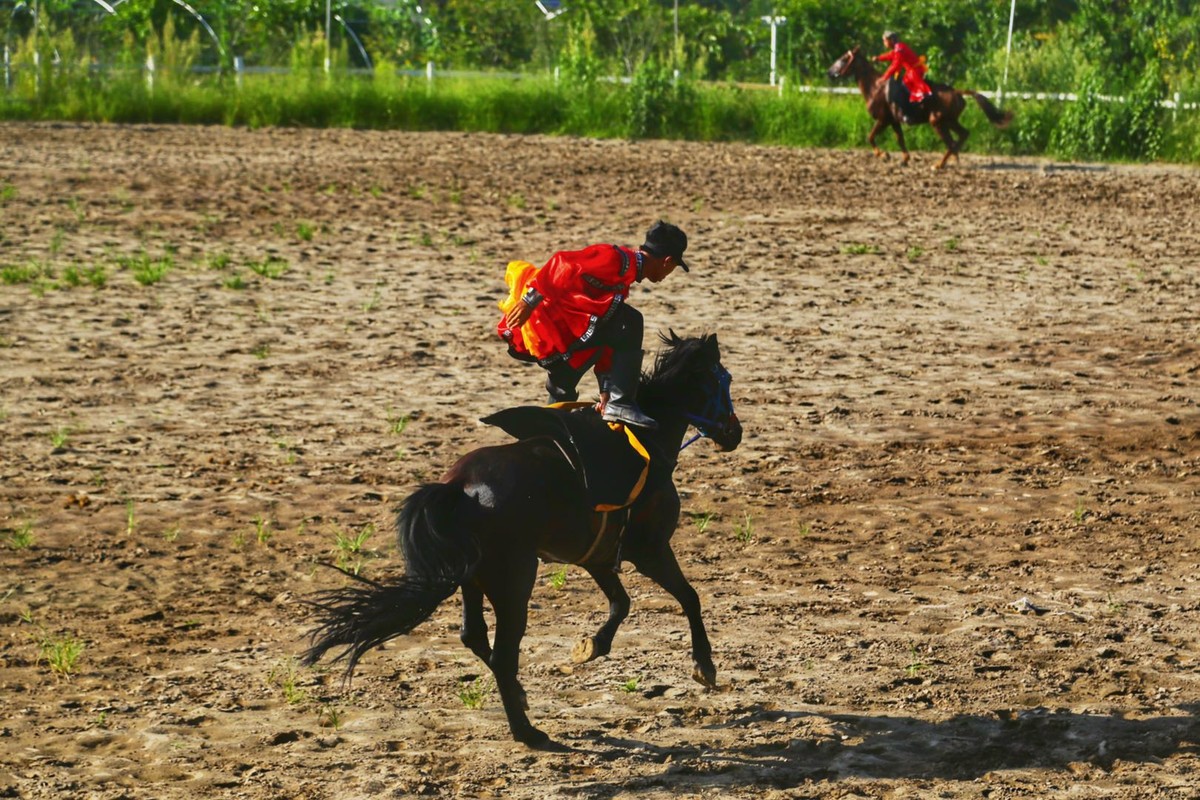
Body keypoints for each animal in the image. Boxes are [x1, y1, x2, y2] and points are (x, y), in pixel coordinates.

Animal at [304, 335, 739, 748]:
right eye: (724, 379)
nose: (735, 432)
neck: (646, 440)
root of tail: (459, 487)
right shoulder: (650, 550)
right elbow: (689, 597)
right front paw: (704, 666)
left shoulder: (596, 556)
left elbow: (622, 602)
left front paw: (591, 646)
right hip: (514, 582)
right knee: (502, 654)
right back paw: (528, 732)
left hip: (473, 578)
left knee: (474, 637)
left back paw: (522, 700)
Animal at [830, 46, 1017, 169]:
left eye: (844, 58)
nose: (830, 72)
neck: (876, 87)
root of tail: (956, 91)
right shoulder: (894, 121)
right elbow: (900, 139)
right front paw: (905, 159)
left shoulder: (883, 120)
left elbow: (870, 137)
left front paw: (884, 155)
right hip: (949, 121)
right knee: (962, 135)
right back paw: (953, 158)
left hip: (938, 122)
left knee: (950, 142)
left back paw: (940, 164)